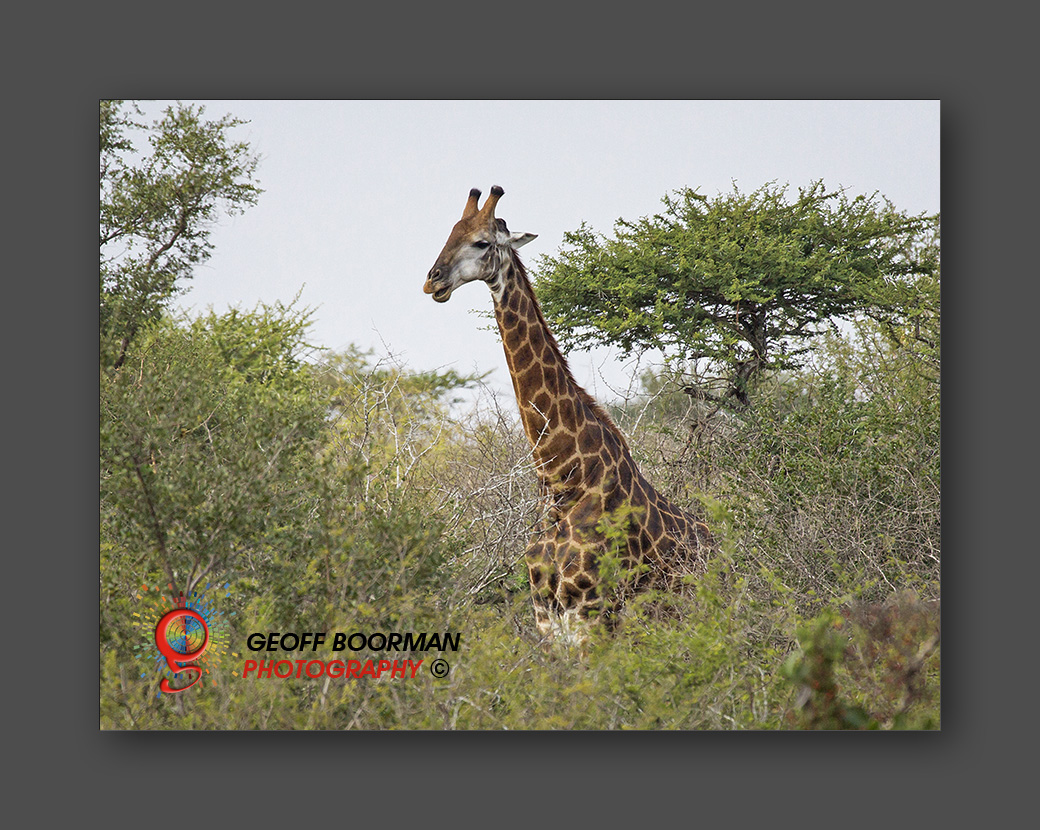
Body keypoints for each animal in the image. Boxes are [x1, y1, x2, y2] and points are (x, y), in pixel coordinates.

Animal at [424, 186, 713, 645]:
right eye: (450, 232)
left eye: (481, 243)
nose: (432, 280)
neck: (563, 480)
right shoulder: (547, 621)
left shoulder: (592, 617)